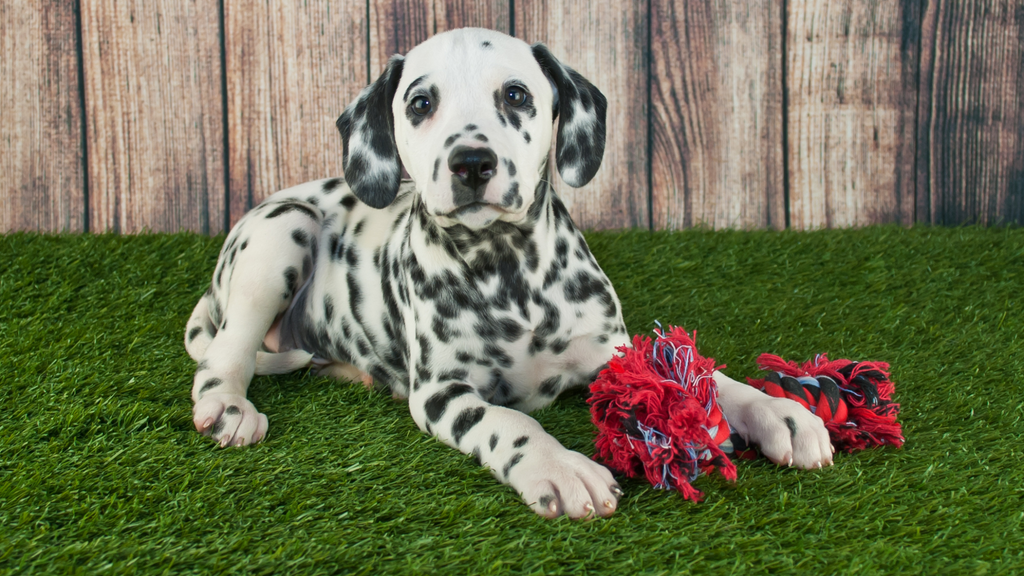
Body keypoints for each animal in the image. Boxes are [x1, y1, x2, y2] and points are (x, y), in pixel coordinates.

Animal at [184, 28, 835, 516]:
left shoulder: (611, 351)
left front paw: (775, 411)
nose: (472, 162)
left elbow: (694, 377)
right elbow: (504, 420)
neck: (509, 274)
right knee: (223, 356)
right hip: (280, 236)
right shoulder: (443, 392)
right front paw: (561, 466)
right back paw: (230, 408)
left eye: (518, 95)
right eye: (421, 103)